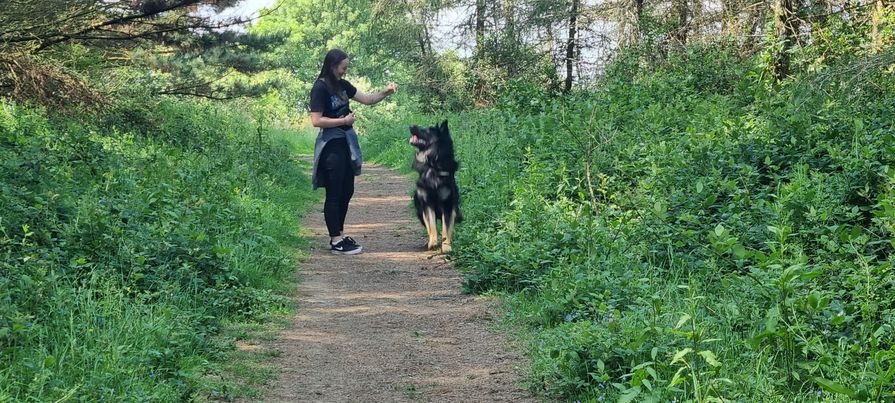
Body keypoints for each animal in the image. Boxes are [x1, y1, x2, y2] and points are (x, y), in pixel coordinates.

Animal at [408, 119, 462, 252]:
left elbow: (446, 229)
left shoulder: (447, 205)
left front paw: (446, 246)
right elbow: (432, 226)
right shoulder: (427, 204)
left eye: (427, 130)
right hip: (419, 208)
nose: (410, 126)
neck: (432, 165)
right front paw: (433, 243)